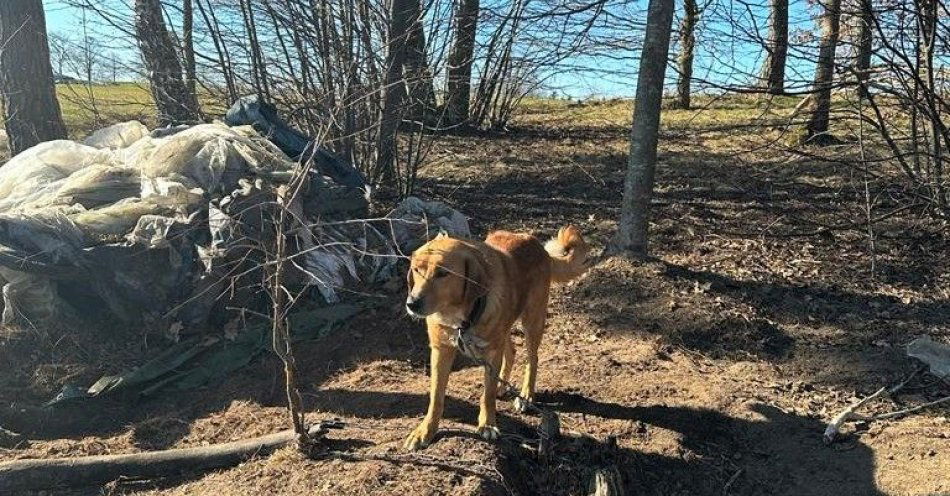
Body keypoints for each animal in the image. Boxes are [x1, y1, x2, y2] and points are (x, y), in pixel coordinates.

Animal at [402, 225, 588, 450]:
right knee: (512, 351)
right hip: (505, 326)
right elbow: (436, 397)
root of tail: (536, 243)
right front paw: (425, 431)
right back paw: (504, 385)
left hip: (532, 320)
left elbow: (487, 395)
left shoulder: (491, 353)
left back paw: (526, 395)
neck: (462, 317)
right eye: (416, 269)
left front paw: (488, 424)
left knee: (532, 358)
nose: (412, 303)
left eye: (443, 273)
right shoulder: (441, 350)